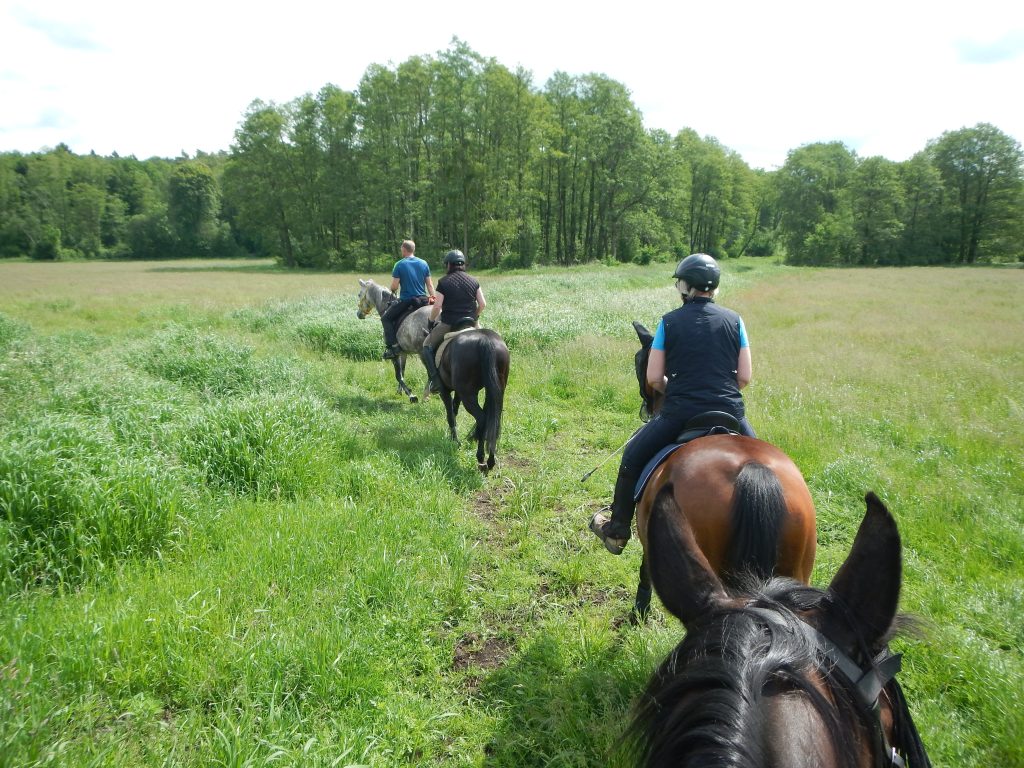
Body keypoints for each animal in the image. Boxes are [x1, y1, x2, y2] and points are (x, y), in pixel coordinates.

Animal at [433, 328, 510, 473]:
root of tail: (486, 339)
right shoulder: (458, 392)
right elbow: (455, 408)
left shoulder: (444, 390)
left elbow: (450, 414)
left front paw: (454, 440)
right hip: (495, 391)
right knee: (492, 420)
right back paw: (490, 460)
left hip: (468, 395)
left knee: (482, 418)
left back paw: (481, 457)